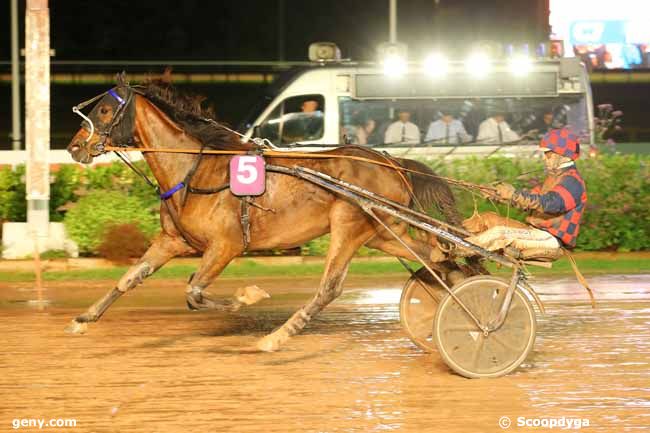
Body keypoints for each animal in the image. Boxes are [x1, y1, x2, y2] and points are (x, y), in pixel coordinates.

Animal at [66, 74, 468, 352]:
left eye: (104, 110)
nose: (74, 147)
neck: (195, 171)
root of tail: (391, 162)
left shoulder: (225, 245)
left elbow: (194, 292)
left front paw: (249, 297)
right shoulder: (173, 241)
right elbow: (129, 279)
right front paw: (83, 318)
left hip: (349, 224)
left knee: (330, 287)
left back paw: (276, 337)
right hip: (383, 233)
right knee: (435, 255)